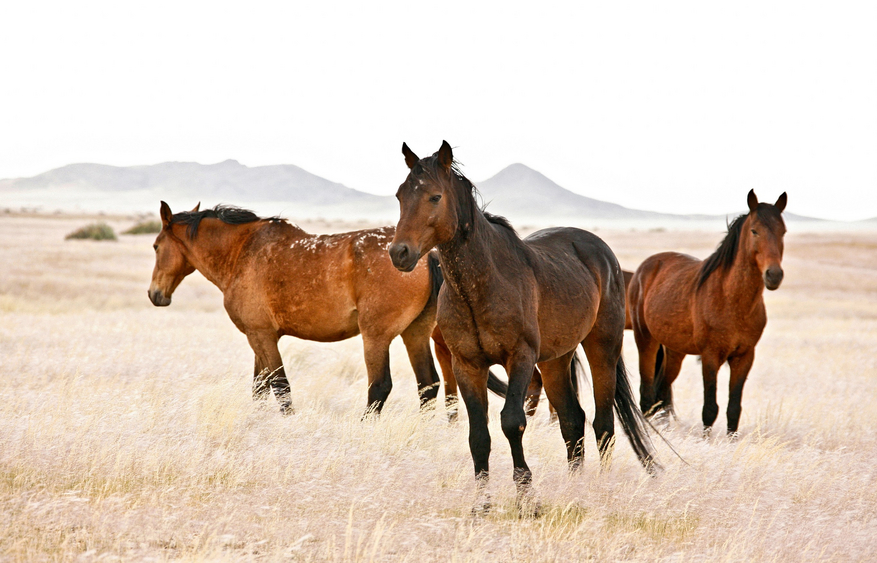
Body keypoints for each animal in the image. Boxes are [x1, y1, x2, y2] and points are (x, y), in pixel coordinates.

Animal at [148, 204, 504, 418]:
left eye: (155, 246)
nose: (155, 295)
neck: (243, 253)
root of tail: (425, 254)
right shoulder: (260, 337)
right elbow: (259, 389)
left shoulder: (262, 337)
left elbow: (281, 388)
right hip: (414, 333)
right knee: (427, 386)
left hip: (376, 336)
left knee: (381, 387)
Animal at [386, 142, 652, 512]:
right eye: (400, 195)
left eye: (435, 197)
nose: (399, 252)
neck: (482, 285)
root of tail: (601, 252)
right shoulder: (467, 365)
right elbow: (478, 434)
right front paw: (481, 504)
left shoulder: (521, 359)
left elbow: (512, 422)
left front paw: (527, 496)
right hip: (555, 360)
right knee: (573, 420)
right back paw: (575, 487)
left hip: (602, 348)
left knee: (603, 423)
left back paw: (601, 489)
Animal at [628, 192, 788, 438]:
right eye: (754, 231)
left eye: (783, 232)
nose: (774, 275)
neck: (731, 299)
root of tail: (644, 268)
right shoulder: (710, 356)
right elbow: (710, 407)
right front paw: (706, 441)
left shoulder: (744, 357)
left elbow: (734, 408)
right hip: (646, 341)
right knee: (646, 395)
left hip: (675, 351)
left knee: (662, 392)